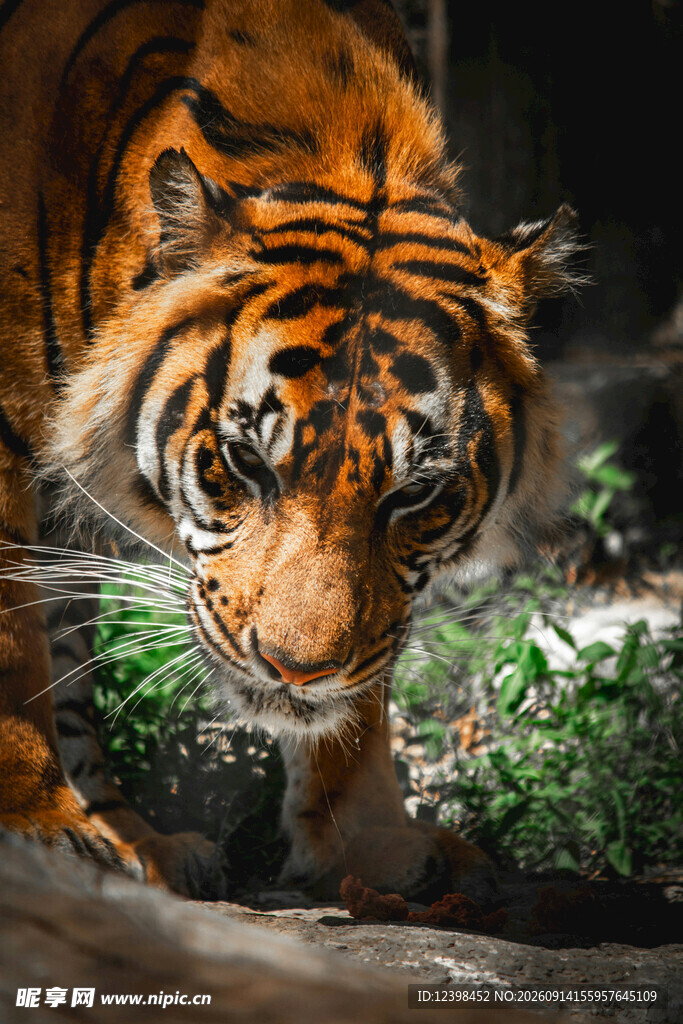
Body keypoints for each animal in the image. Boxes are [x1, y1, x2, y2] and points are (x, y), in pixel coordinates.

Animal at [0, 0, 580, 899]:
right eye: (244, 463)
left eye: (413, 495)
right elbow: (12, 651)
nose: (296, 673)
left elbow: (368, 686)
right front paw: (39, 829)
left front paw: (372, 841)